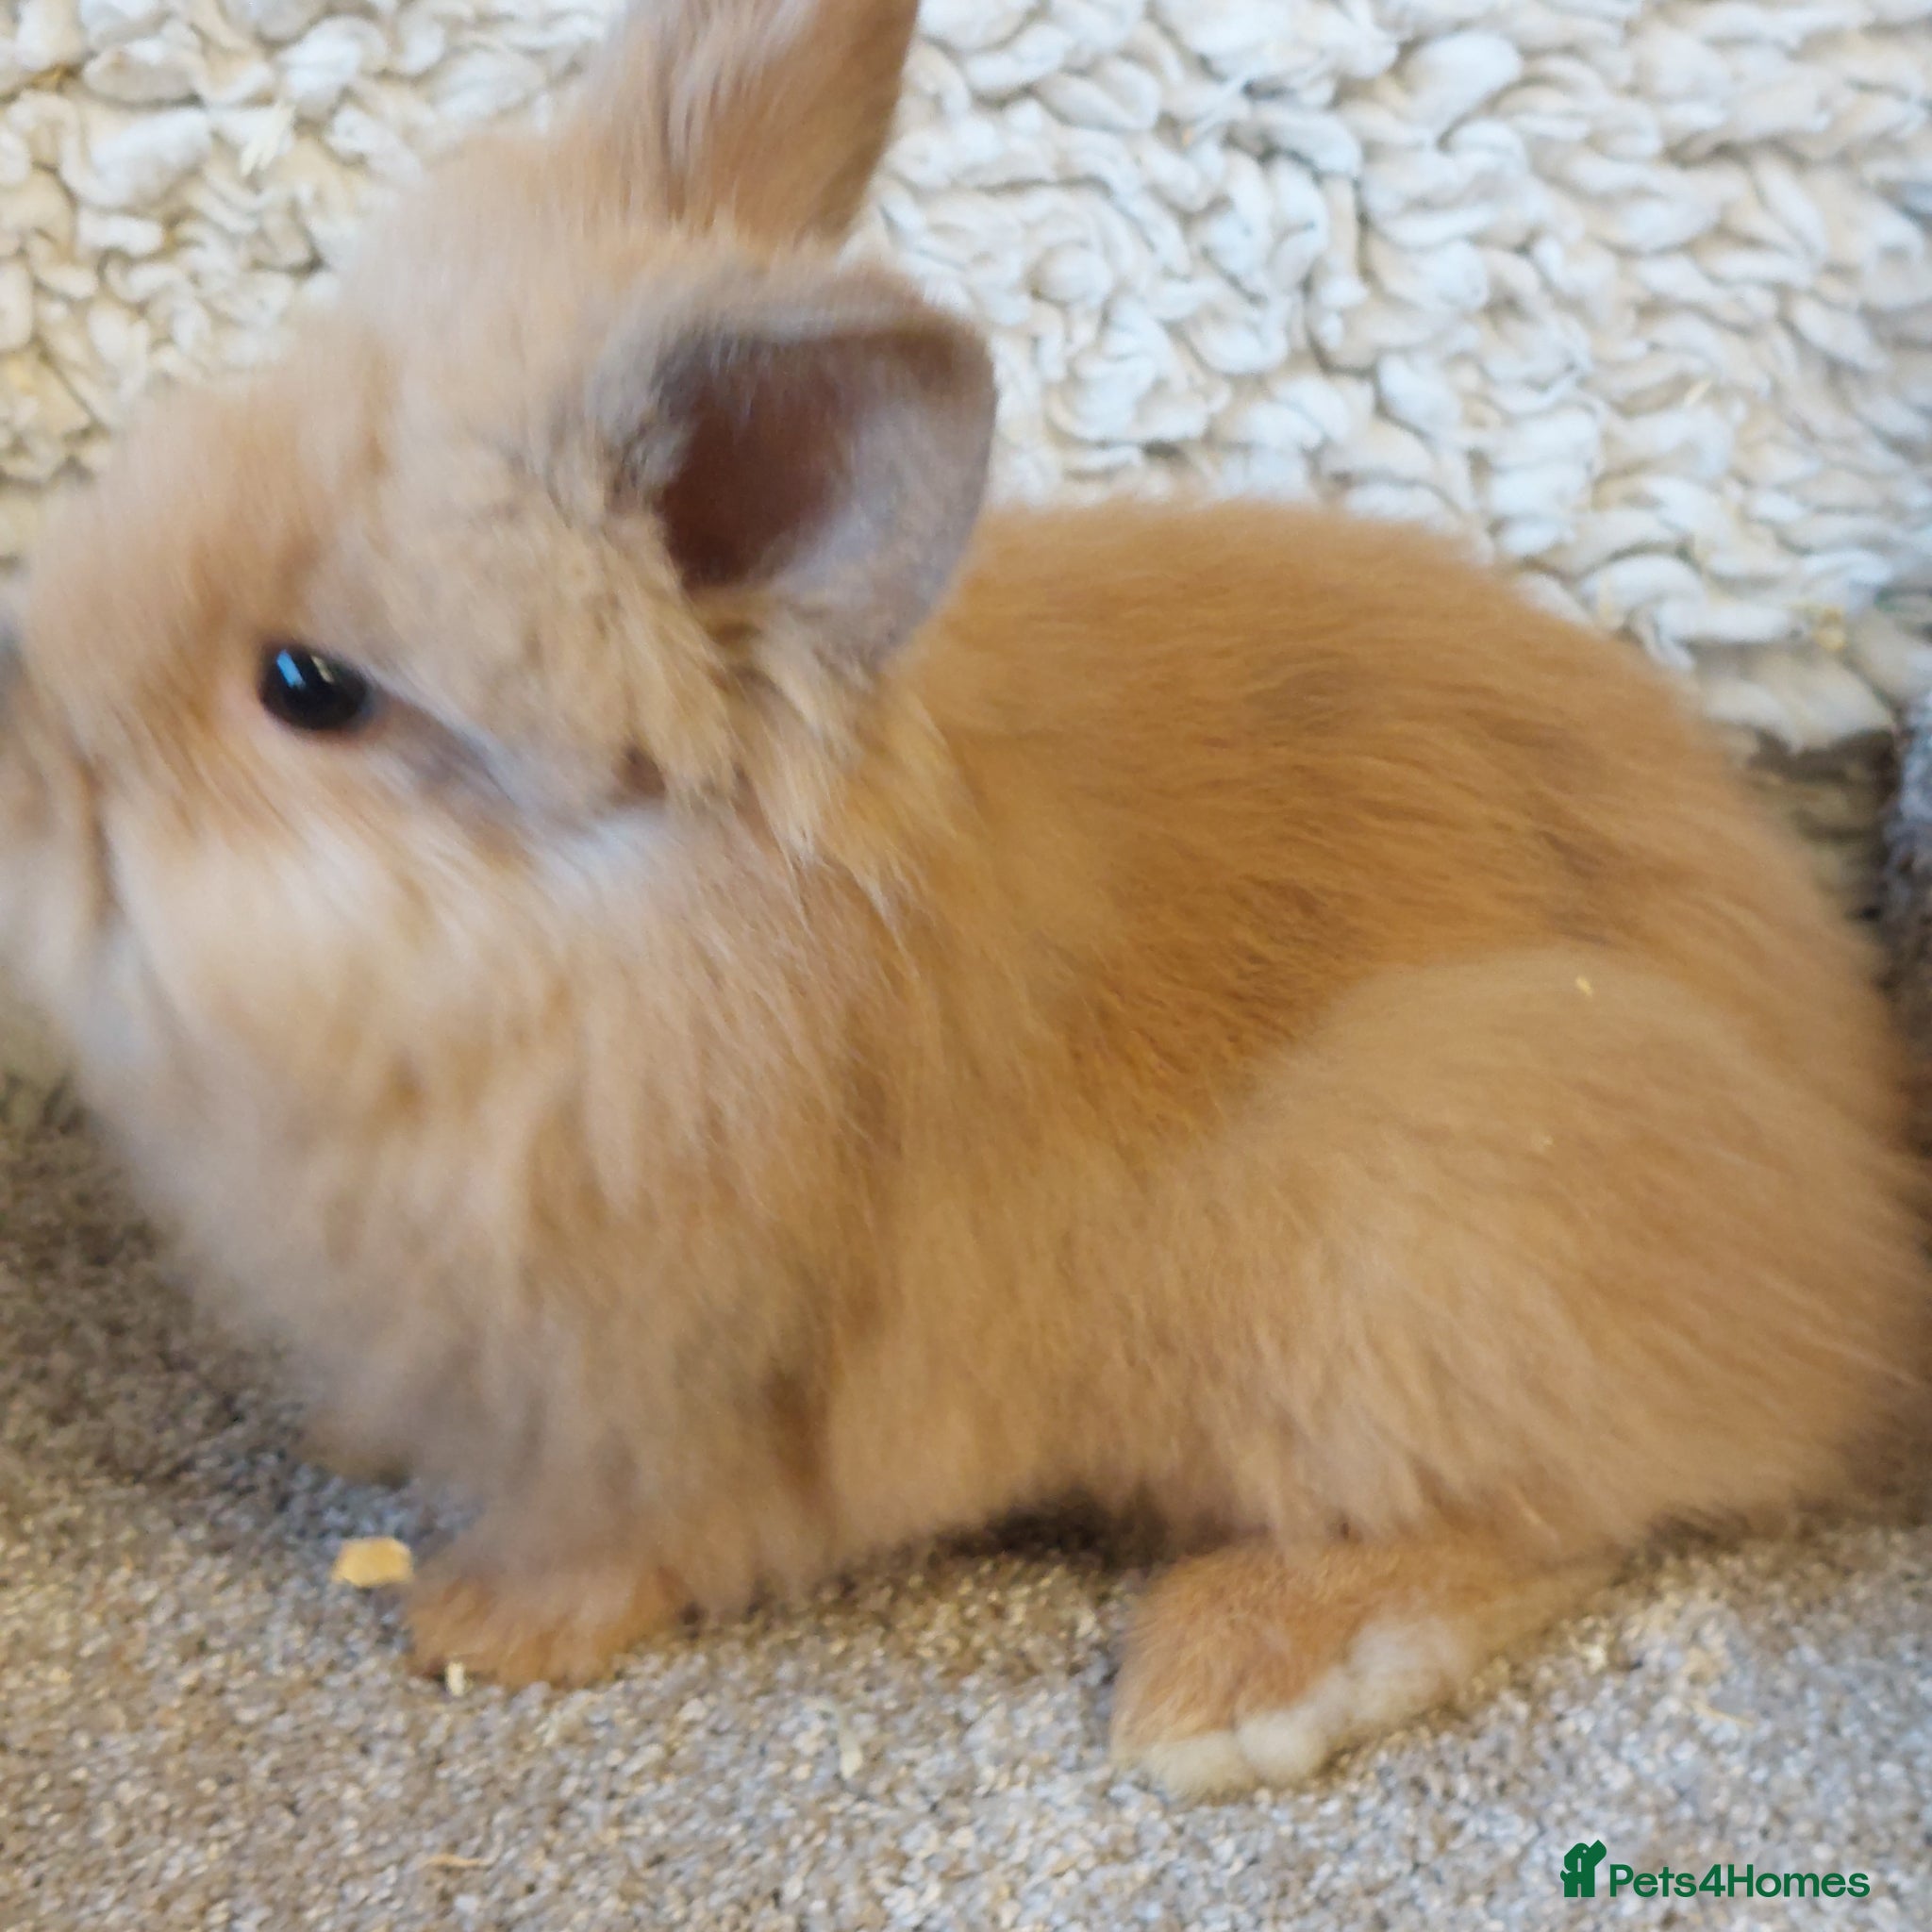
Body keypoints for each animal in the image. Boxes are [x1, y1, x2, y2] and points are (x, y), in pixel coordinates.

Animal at [0, 0, 1924, 1800]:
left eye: (308, 686)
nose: (33, 749)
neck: (574, 937)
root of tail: (1860, 1224)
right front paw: (364, 1439)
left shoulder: (685, 1381)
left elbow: (627, 1527)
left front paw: (477, 1623)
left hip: (1427, 1192)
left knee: (1534, 1519)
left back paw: (1231, 1686)